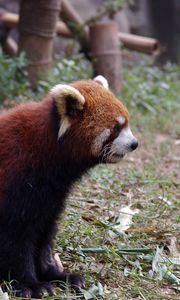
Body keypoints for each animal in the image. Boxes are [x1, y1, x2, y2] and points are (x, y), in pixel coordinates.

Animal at [0, 75, 138, 298]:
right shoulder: (15, 180)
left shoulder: (51, 195)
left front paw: (56, 275)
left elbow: (45, 234)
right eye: (116, 128)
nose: (134, 143)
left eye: (127, 122)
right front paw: (29, 283)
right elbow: (14, 240)